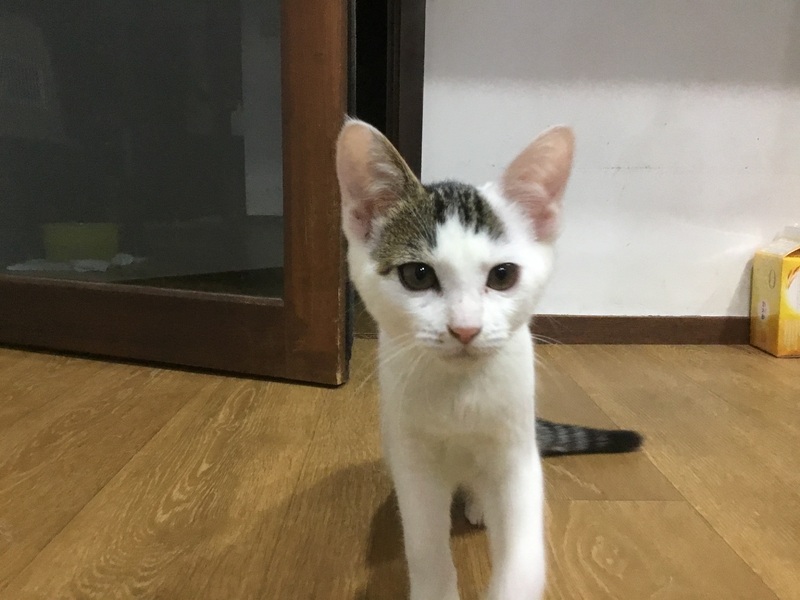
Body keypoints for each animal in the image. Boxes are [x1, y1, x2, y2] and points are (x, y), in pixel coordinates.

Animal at [336, 119, 630, 599]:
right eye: (417, 275)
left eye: (503, 275)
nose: (465, 329)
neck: (461, 394)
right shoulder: (415, 458)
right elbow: (424, 540)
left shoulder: (516, 453)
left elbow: (523, 551)